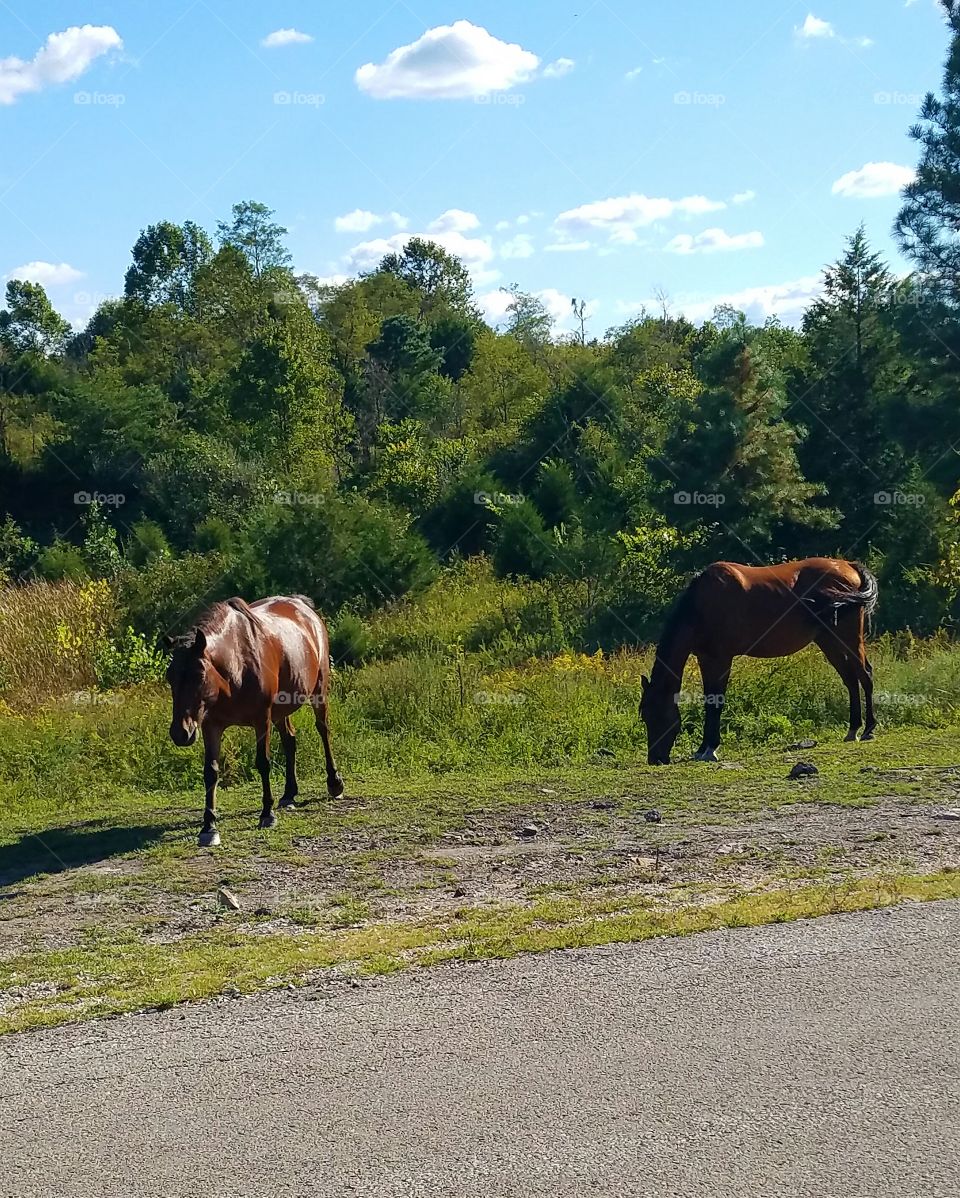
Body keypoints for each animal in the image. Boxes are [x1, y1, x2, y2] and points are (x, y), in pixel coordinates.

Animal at [166, 595, 344, 846]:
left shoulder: (262, 720)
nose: (180, 733)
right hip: (282, 709)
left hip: (318, 691)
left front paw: (267, 814)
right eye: (170, 676)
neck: (236, 663)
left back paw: (334, 783)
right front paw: (209, 827)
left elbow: (263, 763)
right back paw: (289, 794)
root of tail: (302, 606)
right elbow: (211, 771)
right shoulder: (211, 726)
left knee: (323, 730)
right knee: (290, 740)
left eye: (199, 675)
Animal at [639, 558, 878, 765]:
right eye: (645, 715)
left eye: (659, 715)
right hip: (828, 640)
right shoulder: (705, 659)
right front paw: (702, 749)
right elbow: (709, 700)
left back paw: (869, 729)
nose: (655, 759)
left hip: (848, 637)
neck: (702, 606)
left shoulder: (721, 659)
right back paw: (853, 730)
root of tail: (848, 566)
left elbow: (716, 702)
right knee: (850, 680)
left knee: (865, 674)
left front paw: (711, 749)